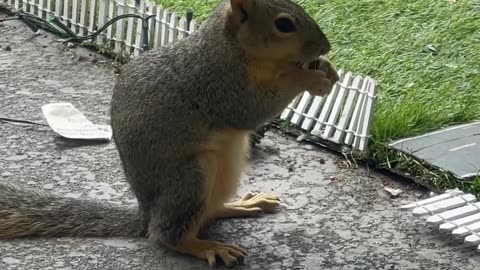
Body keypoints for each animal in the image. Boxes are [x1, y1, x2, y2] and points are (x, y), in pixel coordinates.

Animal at [0, 0, 338, 266]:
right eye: (284, 24)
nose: (326, 47)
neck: (229, 44)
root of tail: (146, 213)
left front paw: (327, 68)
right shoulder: (218, 83)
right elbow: (251, 110)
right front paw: (309, 78)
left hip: (229, 165)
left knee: (208, 212)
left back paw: (239, 205)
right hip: (191, 177)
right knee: (167, 234)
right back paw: (204, 246)